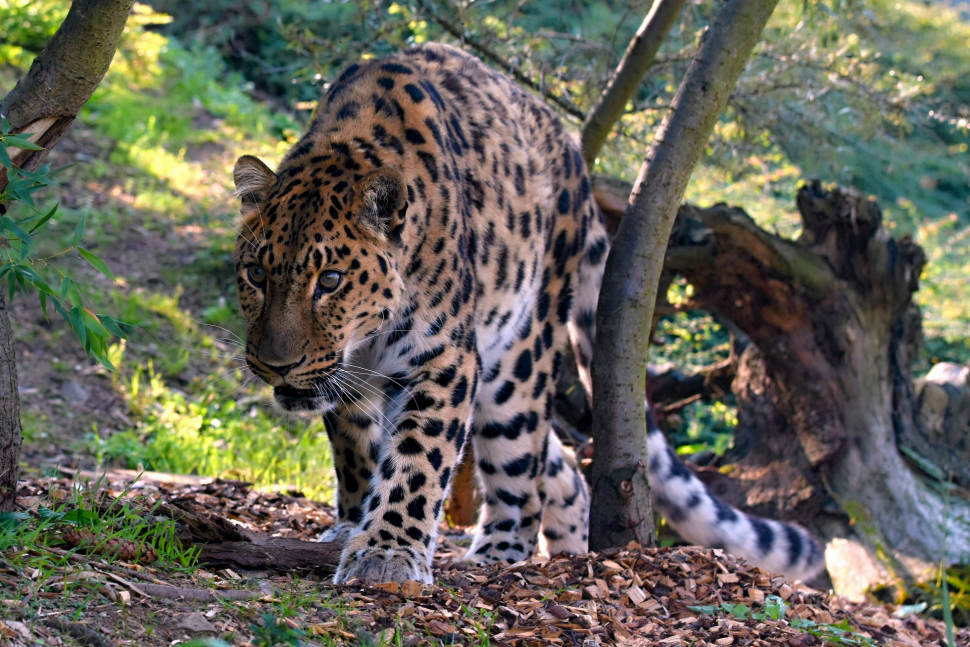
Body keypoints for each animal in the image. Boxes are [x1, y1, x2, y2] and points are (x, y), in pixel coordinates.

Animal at [231, 43, 820, 584]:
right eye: (257, 274)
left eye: (330, 281)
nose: (276, 365)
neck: (365, 340)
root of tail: (576, 162)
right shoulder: (344, 377)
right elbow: (356, 454)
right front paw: (351, 528)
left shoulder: (443, 358)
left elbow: (418, 459)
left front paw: (387, 553)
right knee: (560, 465)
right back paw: (568, 552)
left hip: (519, 355)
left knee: (522, 464)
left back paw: (499, 553)